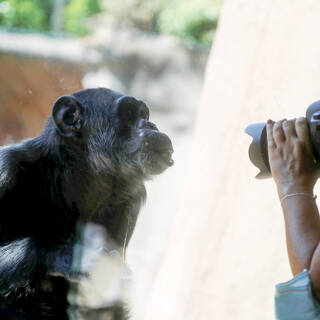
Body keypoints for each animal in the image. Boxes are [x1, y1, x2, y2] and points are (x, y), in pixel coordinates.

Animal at [0, 86, 174, 318]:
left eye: (144, 115)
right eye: (128, 113)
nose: (150, 124)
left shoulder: (131, 201)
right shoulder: (5, 169)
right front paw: (72, 256)